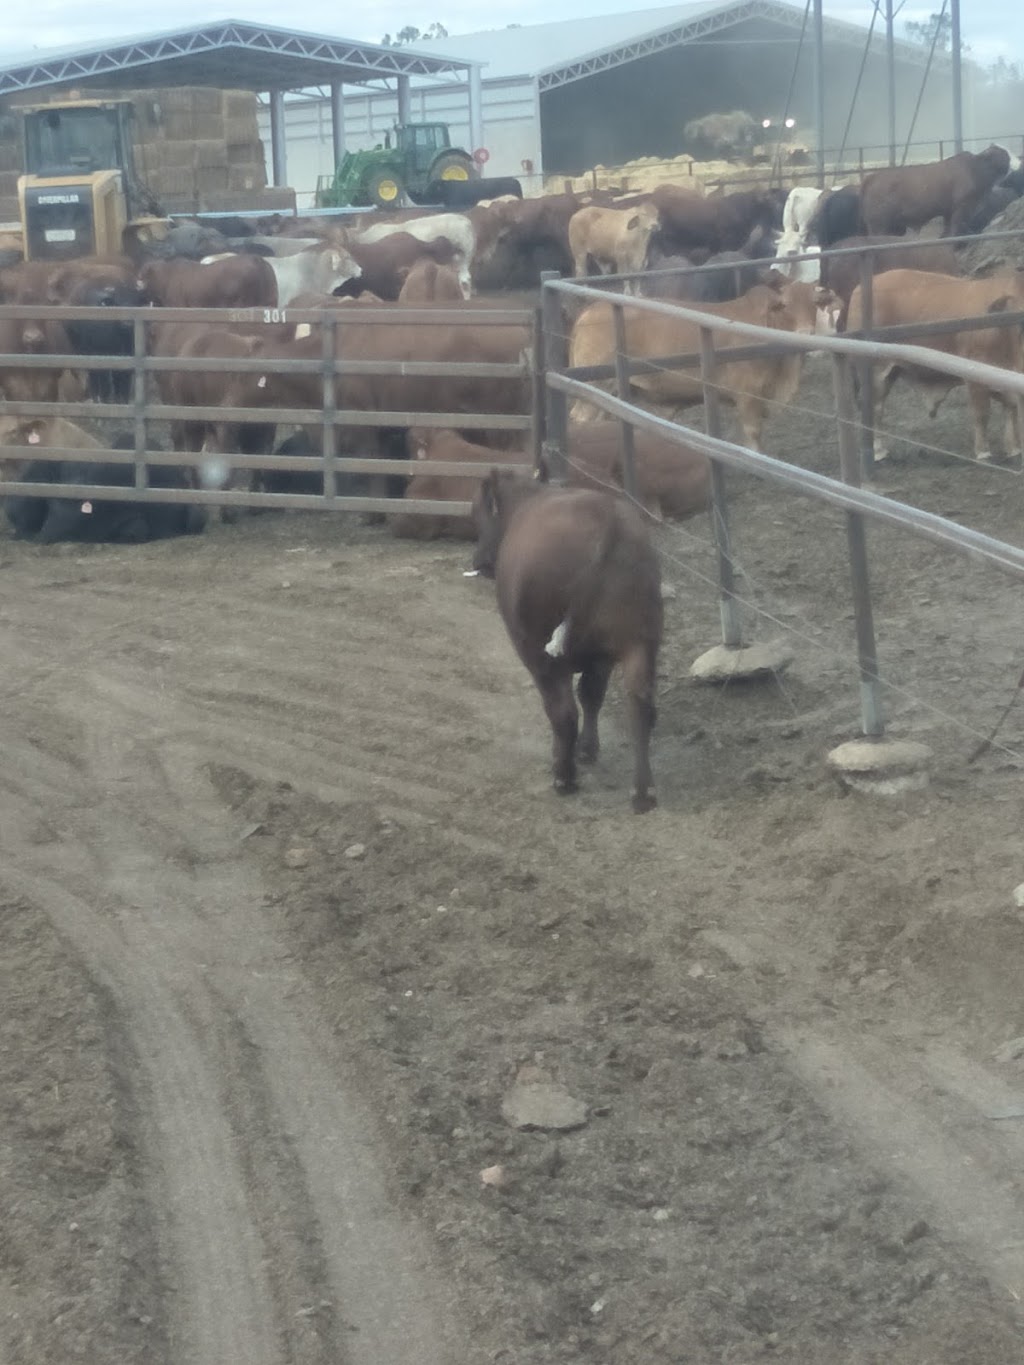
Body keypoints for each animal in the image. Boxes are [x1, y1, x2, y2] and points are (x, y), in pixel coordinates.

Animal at [472, 469, 666, 808]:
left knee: (562, 712)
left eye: (479, 512)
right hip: (639, 642)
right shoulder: (600, 659)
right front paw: (588, 749)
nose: (478, 560)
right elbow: (592, 695)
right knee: (640, 705)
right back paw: (643, 792)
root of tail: (607, 522)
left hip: (542, 655)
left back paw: (564, 777)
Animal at [570, 279, 841, 450]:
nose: (806, 332)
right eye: (785, 305)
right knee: (580, 419)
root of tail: (590, 310)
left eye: (814, 303)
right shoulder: (748, 394)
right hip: (597, 387)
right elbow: (753, 432)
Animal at [851, 267, 1024, 464]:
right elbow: (982, 413)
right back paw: (878, 451)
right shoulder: (974, 376)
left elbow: (1011, 408)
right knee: (875, 408)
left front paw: (1014, 448)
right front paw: (983, 452)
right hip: (874, 370)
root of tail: (859, 288)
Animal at [862, 146, 1021, 240]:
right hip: (879, 226)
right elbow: (955, 229)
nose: (1019, 163)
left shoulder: (949, 212)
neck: (974, 168)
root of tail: (871, 177)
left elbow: (947, 230)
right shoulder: (961, 207)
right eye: (1005, 155)